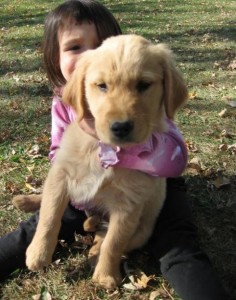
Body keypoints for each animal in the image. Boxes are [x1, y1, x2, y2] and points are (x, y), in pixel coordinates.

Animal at [24, 34, 187, 290]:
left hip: (143, 229)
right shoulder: (60, 173)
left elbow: (114, 242)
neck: (104, 148)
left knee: (106, 238)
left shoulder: (129, 204)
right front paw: (38, 254)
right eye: (102, 86)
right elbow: (49, 215)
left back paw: (94, 255)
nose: (121, 127)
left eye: (143, 85)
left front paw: (105, 276)